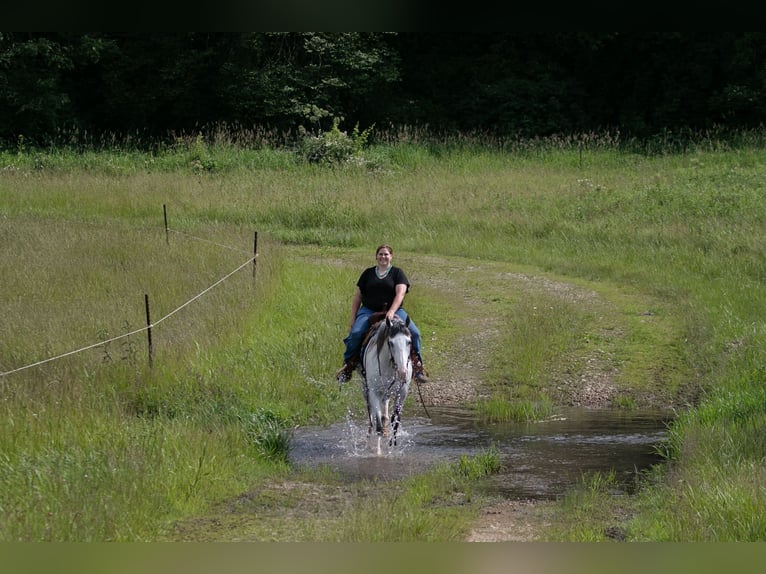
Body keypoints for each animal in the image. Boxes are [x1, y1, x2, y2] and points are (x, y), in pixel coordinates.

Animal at [360, 316, 414, 446]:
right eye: (391, 343)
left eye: (409, 342)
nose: (402, 372)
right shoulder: (373, 392)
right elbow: (378, 425)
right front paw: (377, 449)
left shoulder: (402, 393)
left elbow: (395, 420)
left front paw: (392, 443)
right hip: (365, 389)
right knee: (371, 415)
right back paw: (369, 435)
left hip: (386, 392)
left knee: (385, 412)